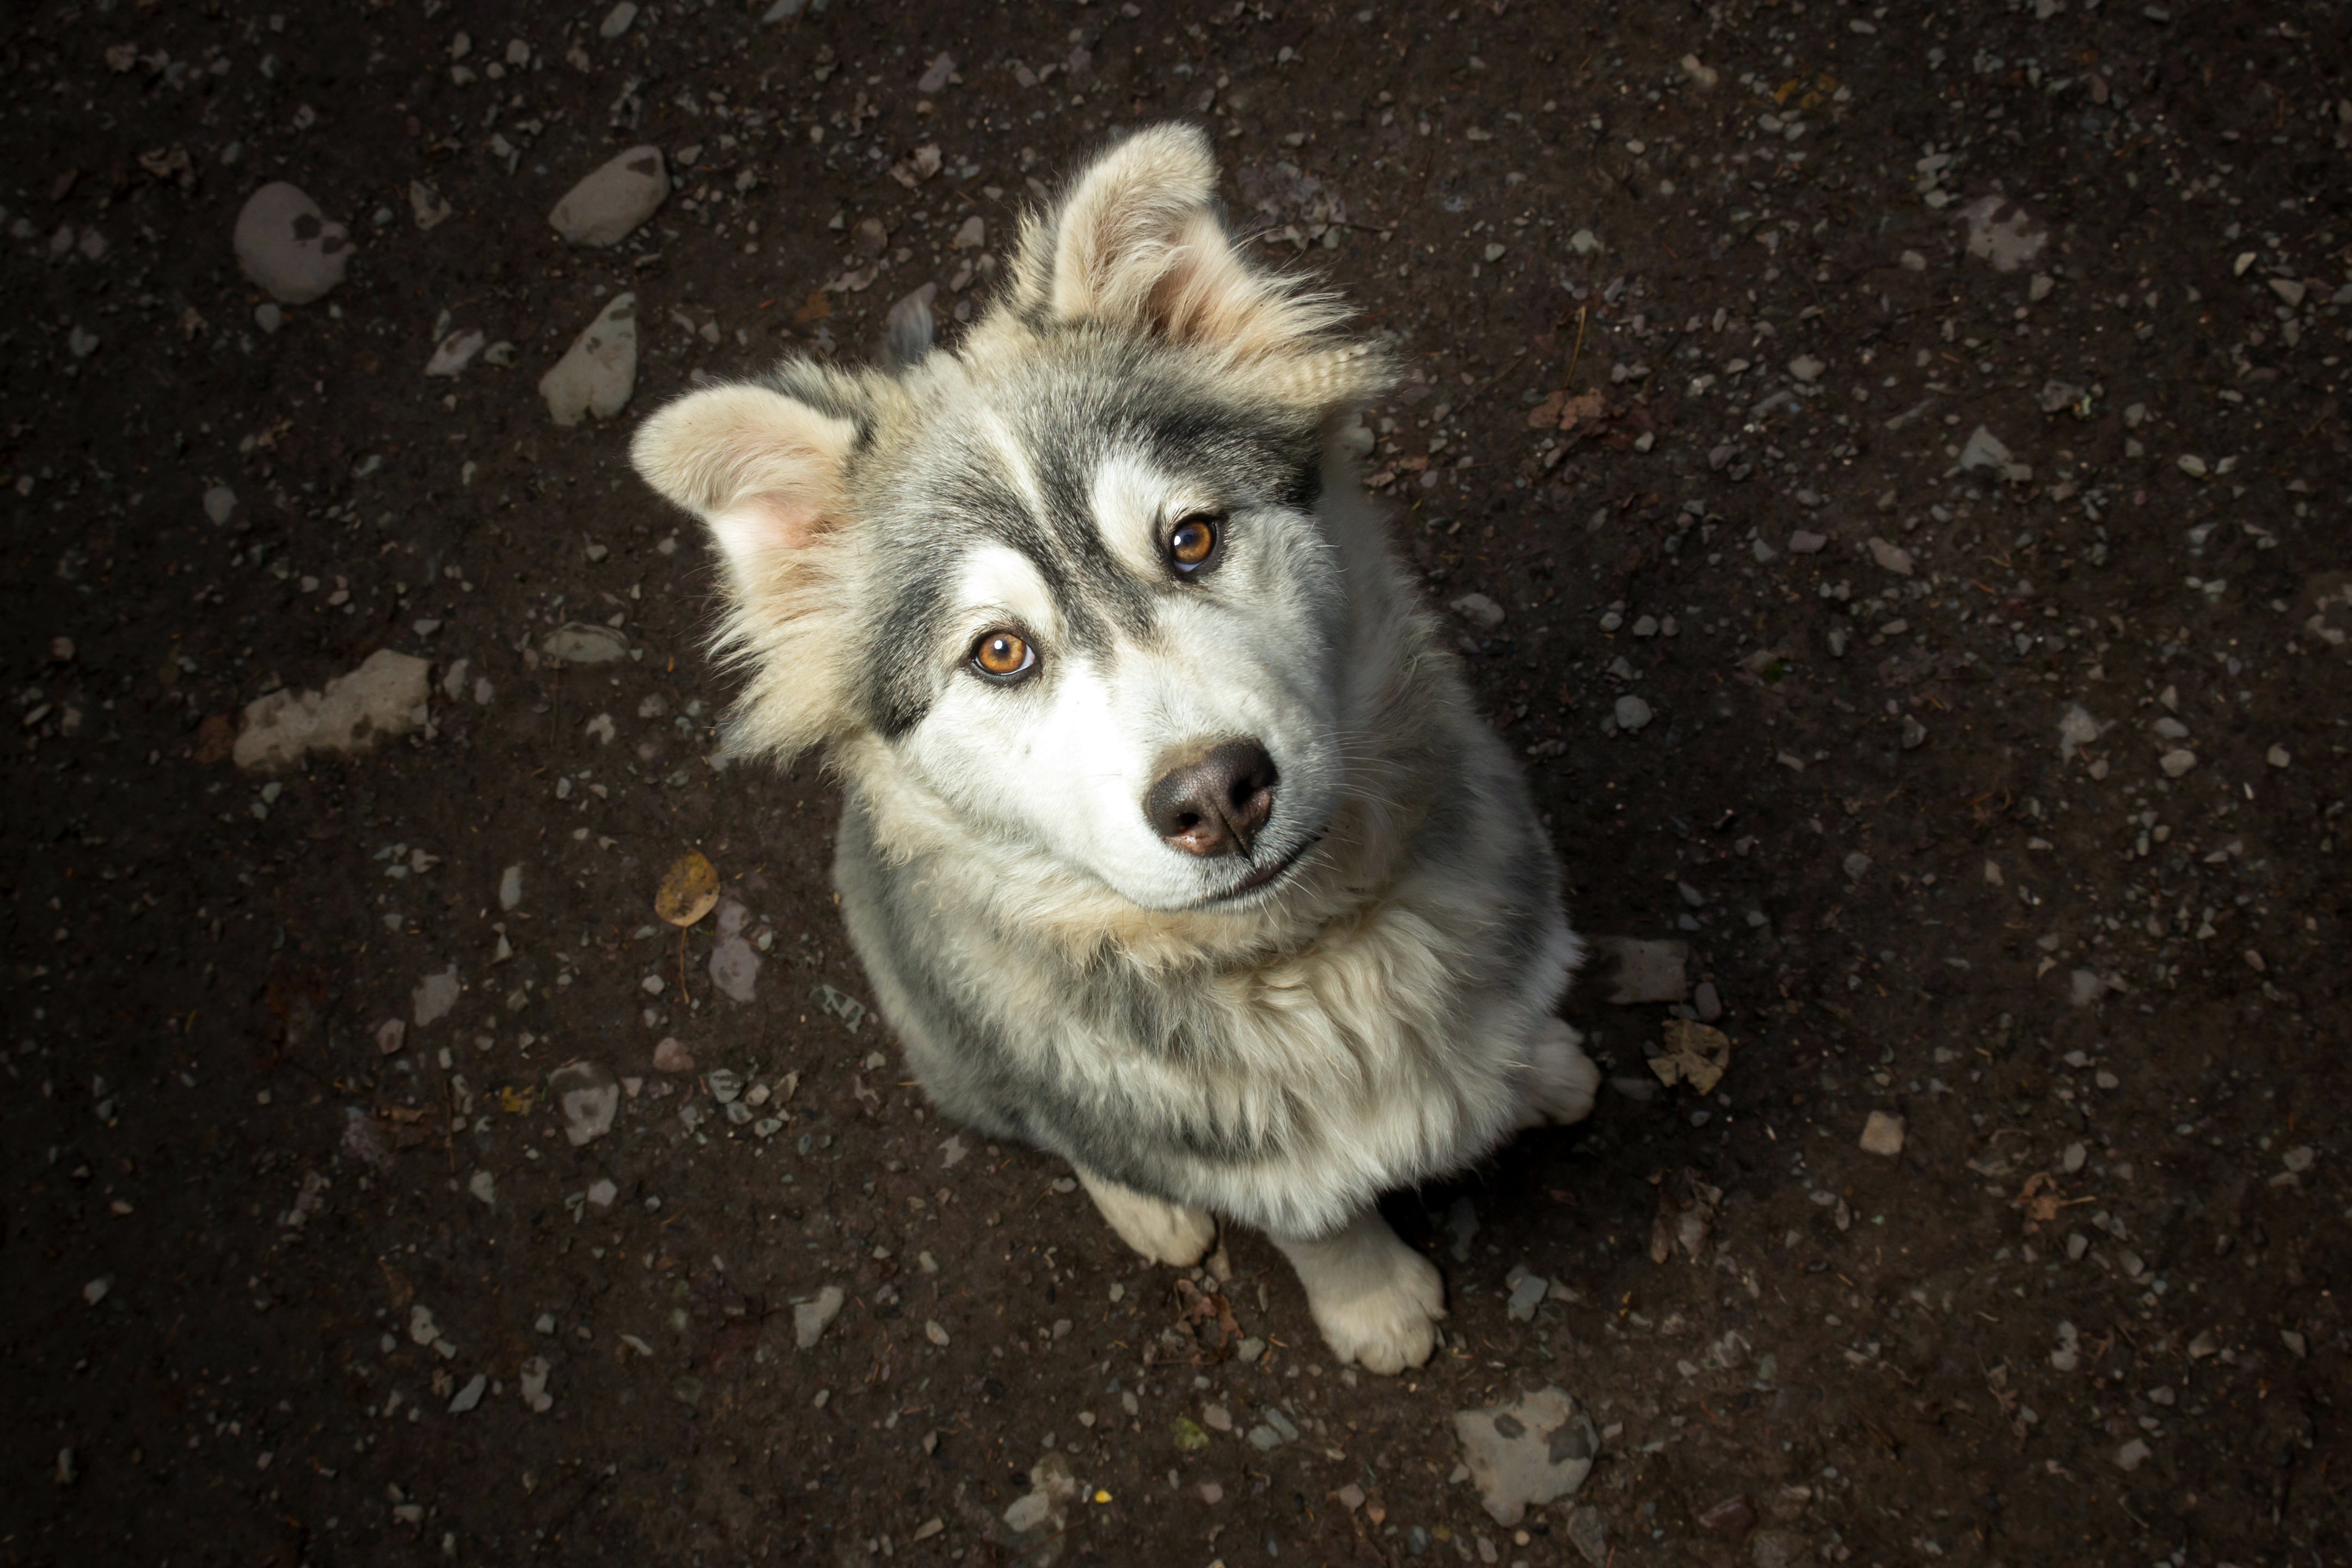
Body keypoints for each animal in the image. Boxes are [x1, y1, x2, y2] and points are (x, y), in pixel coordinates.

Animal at [626, 122, 1599, 1373]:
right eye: (999, 652)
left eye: (1193, 539)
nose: (1218, 797)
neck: (1311, 958)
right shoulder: (1239, 1150)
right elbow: (1318, 1219)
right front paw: (1375, 1305)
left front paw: (1541, 1064)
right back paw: (1148, 1208)